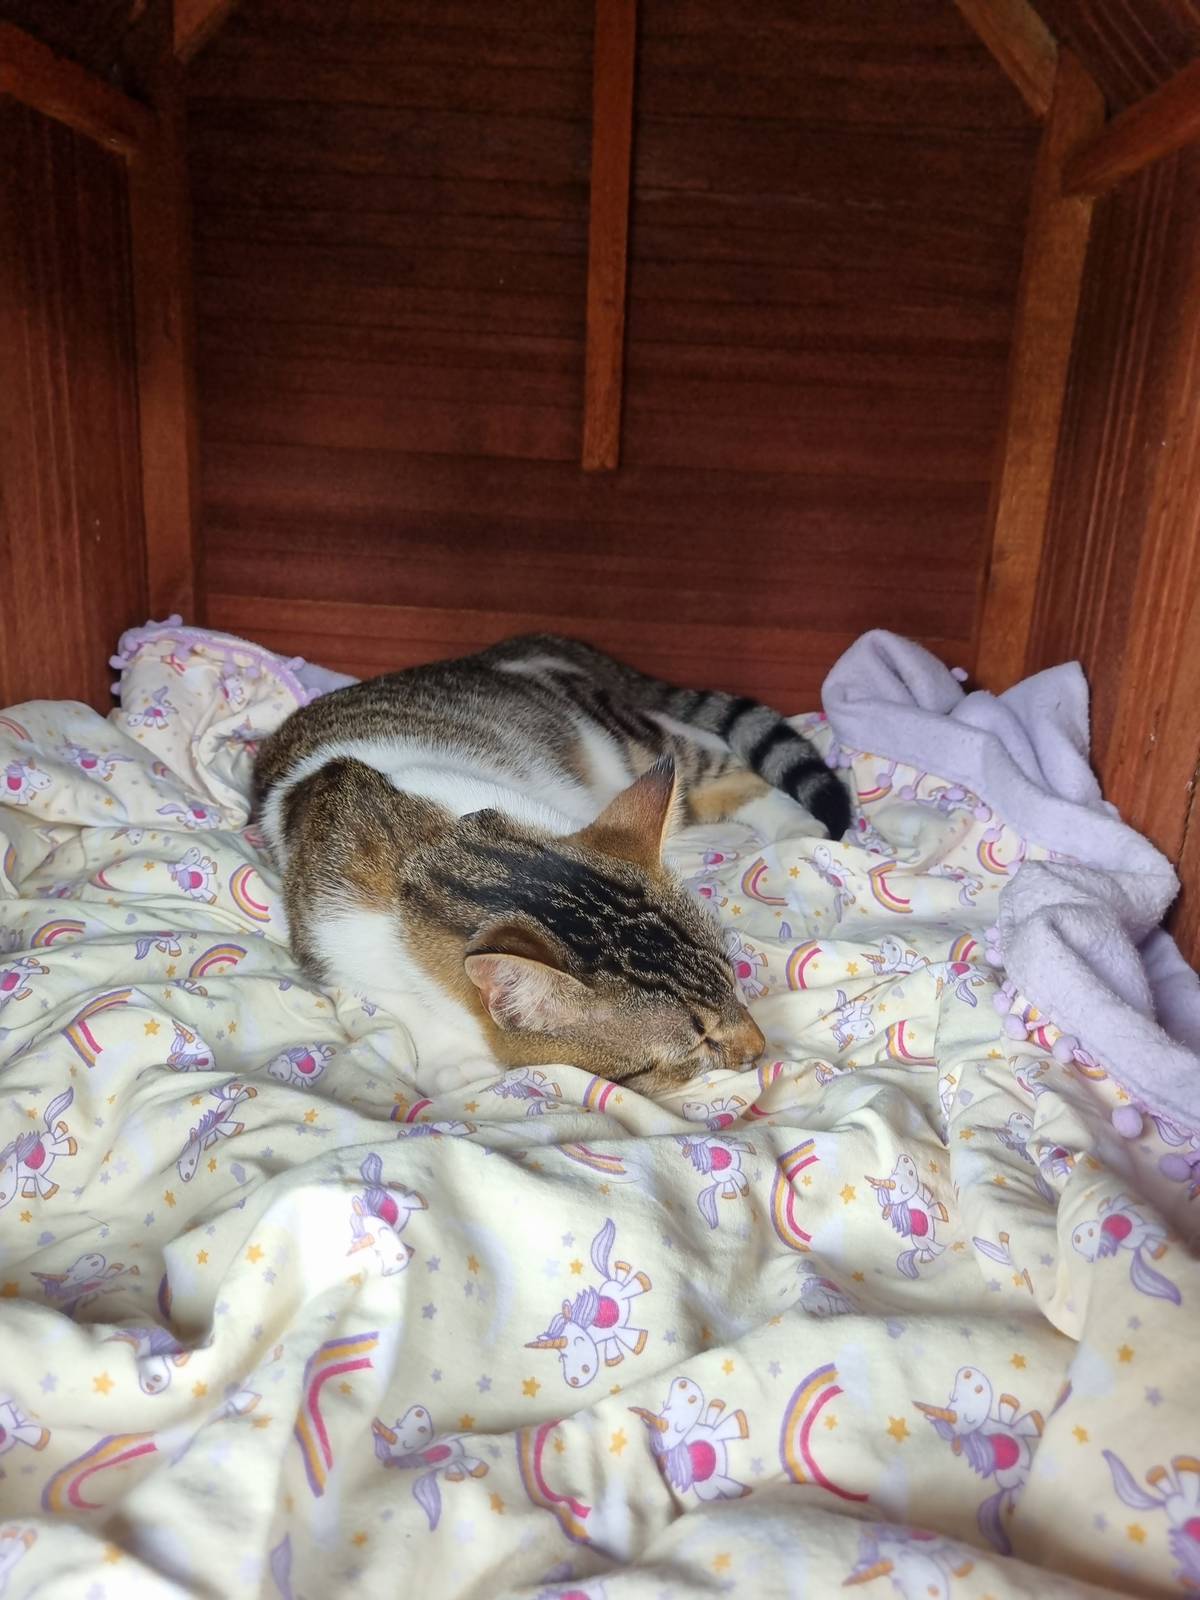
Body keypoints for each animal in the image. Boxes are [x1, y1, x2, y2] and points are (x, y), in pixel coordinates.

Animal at [253, 634, 851, 1095]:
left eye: (734, 983)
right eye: (698, 1043)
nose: (761, 1047)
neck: (431, 852)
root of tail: (517, 648)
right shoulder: (325, 943)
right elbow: (387, 996)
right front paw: (453, 1059)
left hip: (625, 741)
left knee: (709, 757)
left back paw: (793, 829)